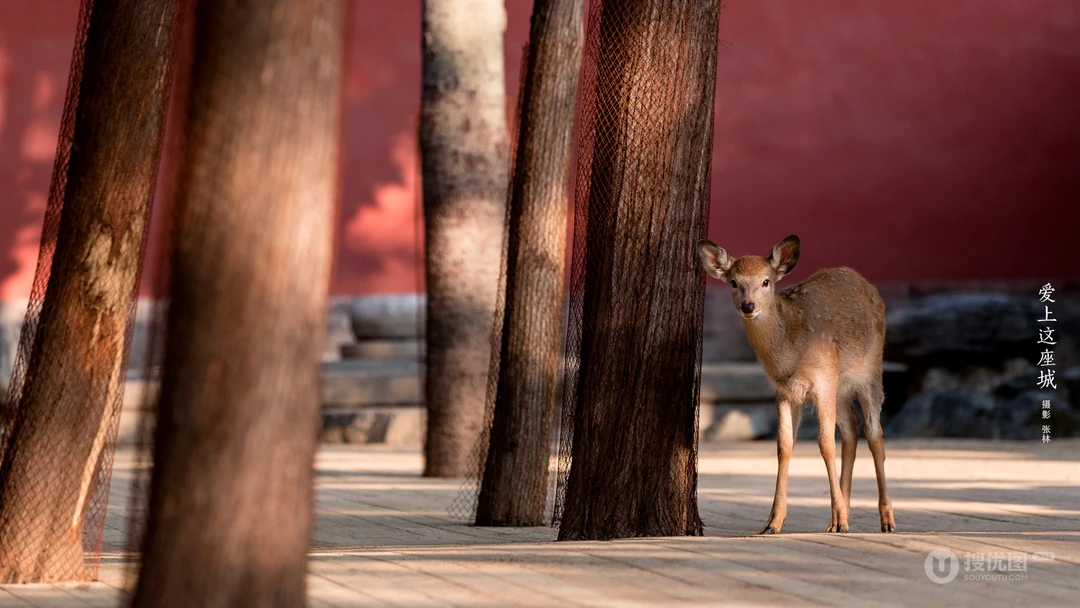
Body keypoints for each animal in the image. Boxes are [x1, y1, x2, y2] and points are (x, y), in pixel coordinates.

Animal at [696, 235, 895, 534]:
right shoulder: (782, 390)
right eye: (733, 282)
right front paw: (772, 523)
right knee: (851, 428)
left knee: (874, 433)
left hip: (870, 370)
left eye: (766, 281)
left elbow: (825, 443)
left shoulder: (823, 379)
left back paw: (885, 520)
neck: (791, 354)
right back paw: (837, 519)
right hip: (840, 387)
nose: (748, 306)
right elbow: (784, 445)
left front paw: (840, 519)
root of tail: (864, 282)